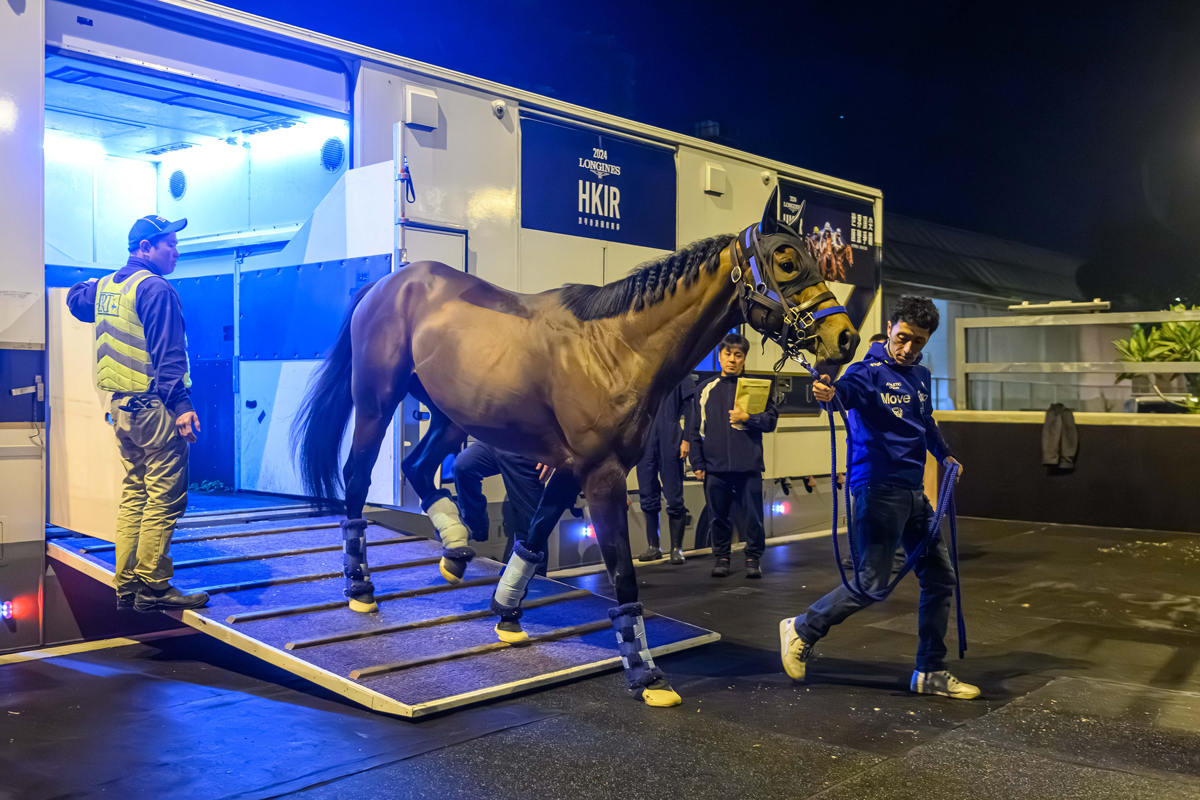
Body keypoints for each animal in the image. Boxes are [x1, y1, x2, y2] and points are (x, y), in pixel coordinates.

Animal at [294, 188, 859, 705]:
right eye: (786, 261)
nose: (846, 338)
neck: (617, 348)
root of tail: (389, 283)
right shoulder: (601, 475)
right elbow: (622, 573)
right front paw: (645, 673)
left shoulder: (567, 469)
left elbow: (533, 537)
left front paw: (507, 612)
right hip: (376, 403)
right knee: (356, 480)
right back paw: (361, 589)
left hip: (450, 416)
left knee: (417, 466)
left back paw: (454, 550)